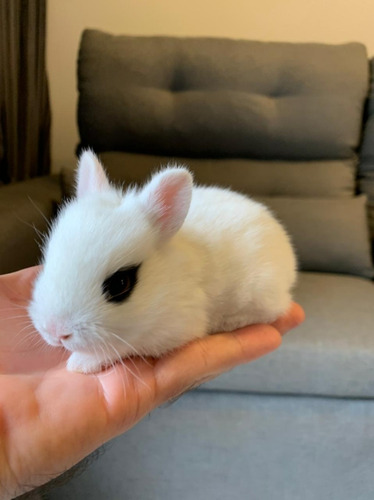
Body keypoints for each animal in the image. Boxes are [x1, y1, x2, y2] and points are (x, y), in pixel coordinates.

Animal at [28, 150, 296, 374]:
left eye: (121, 283)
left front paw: (81, 363)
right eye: (49, 260)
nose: (55, 331)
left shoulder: (171, 328)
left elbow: (123, 346)